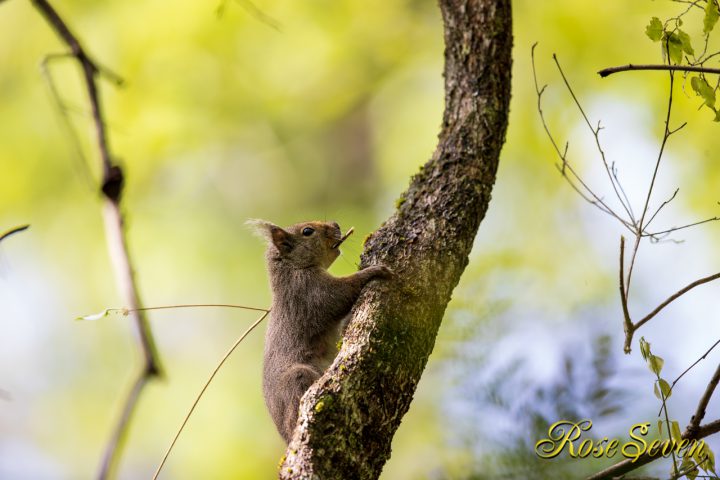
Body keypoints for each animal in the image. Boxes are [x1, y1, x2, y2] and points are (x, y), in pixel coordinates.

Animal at [249, 219, 394, 444]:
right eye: (307, 231)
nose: (336, 224)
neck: (294, 268)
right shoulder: (310, 291)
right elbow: (340, 294)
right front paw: (373, 271)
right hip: (296, 378)